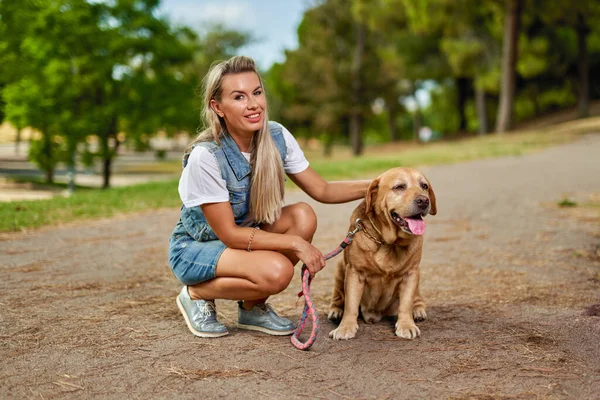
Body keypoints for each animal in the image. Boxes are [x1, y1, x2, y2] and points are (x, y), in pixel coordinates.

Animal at [328, 167, 436, 340]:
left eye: (424, 186)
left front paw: (406, 325)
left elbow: (406, 303)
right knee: (339, 296)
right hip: (340, 269)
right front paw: (345, 327)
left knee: (417, 297)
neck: (389, 243)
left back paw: (418, 309)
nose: (424, 200)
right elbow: (350, 304)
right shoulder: (355, 273)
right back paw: (336, 311)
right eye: (399, 187)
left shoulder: (411, 273)